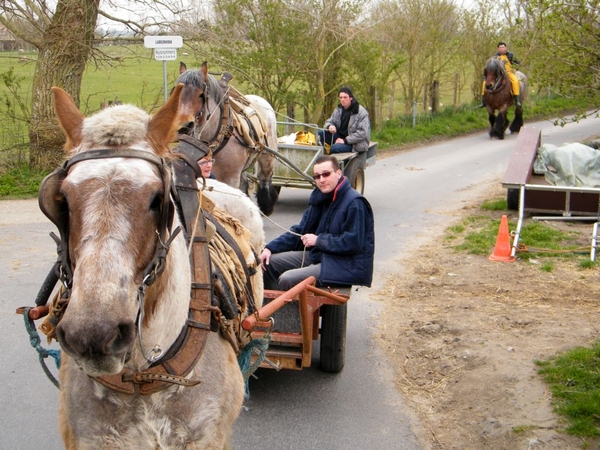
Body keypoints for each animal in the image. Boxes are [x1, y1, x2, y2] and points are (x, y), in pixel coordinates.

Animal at [175, 62, 280, 215]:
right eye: (176, 92)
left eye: (201, 95)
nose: (183, 125)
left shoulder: (230, 179)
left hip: (267, 156)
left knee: (265, 178)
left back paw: (266, 205)